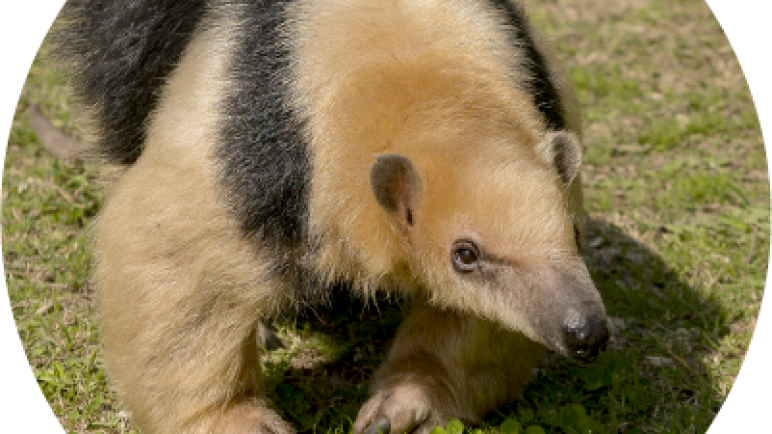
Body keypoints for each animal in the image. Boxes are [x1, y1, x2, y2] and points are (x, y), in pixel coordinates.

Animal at [55, 0, 610, 433]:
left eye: (574, 230)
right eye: (465, 254)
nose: (586, 335)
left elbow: (478, 318)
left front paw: (402, 408)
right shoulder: (247, 144)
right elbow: (175, 257)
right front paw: (240, 423)